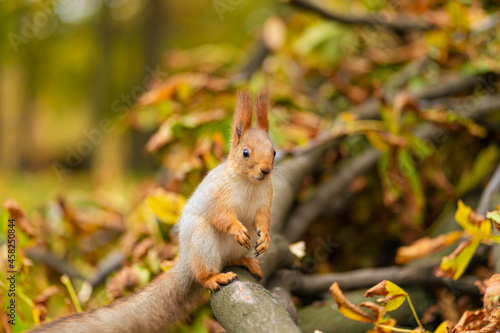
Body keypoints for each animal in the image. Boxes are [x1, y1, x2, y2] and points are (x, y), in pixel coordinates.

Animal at [30, 89, 274, 332]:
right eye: (245, 153)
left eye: (273, 151)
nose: (266, 170)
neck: (250, 183)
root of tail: (185, 260)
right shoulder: (217, 195)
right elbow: (221, 216)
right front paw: (236, 229)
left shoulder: (266, 199)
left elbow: (263, 219)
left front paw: (266, 238)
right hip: (201, 240)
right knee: (203, 273)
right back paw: (214, 278)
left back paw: (247, 261)